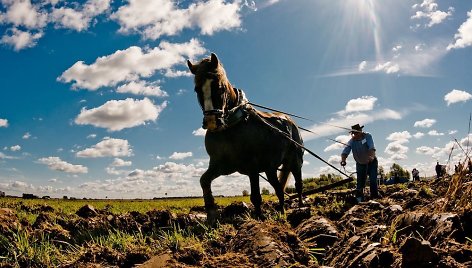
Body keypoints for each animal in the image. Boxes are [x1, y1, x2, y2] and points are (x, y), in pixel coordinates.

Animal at [186, 53, 304, 223]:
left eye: (220, 87)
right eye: (197, 90)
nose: (211, 121)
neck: (230, 127)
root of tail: (290, 121)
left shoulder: (252, 166)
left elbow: (255, 196)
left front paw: (259, 218)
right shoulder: (220, 165)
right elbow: (204, 181)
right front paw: (211, 214)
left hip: (295, 162)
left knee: (298, 184)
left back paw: (301, 207)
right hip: (270, 168)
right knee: (278, 188)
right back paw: (281, 211)